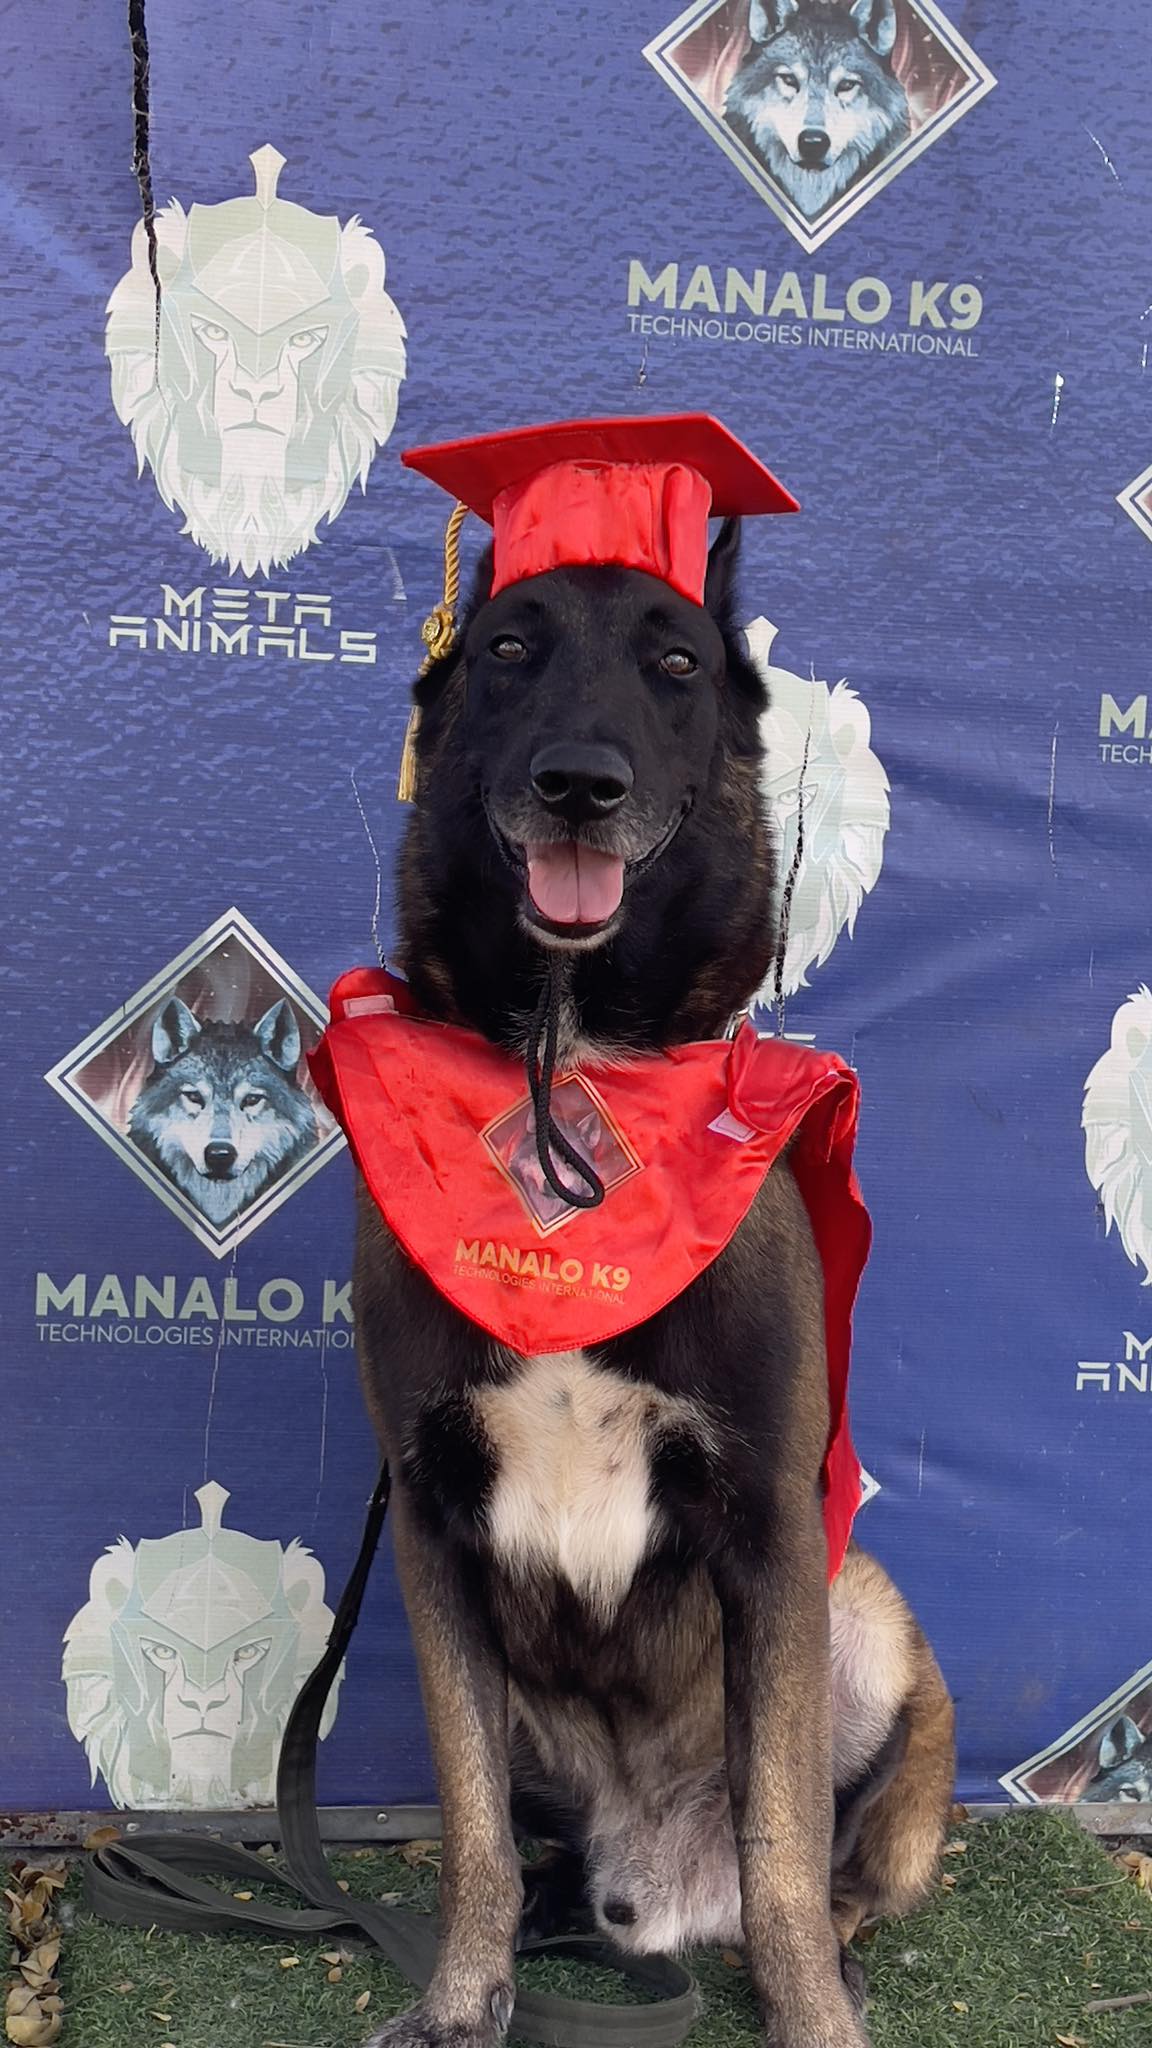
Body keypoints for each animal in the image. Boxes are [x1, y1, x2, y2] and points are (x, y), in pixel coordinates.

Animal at [353, 522, 954, 2048]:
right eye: (511, 647)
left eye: (676, 664)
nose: (582, 782)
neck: (571, 1069)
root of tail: (658, 1885)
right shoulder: (433, 1535)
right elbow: (475, 1829)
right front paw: (463, 1999)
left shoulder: (773, 1526)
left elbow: (784, 1834)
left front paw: (813, 2016)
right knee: (544, 1851)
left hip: (864, 1617)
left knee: (830, 1858)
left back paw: (828, 1954)